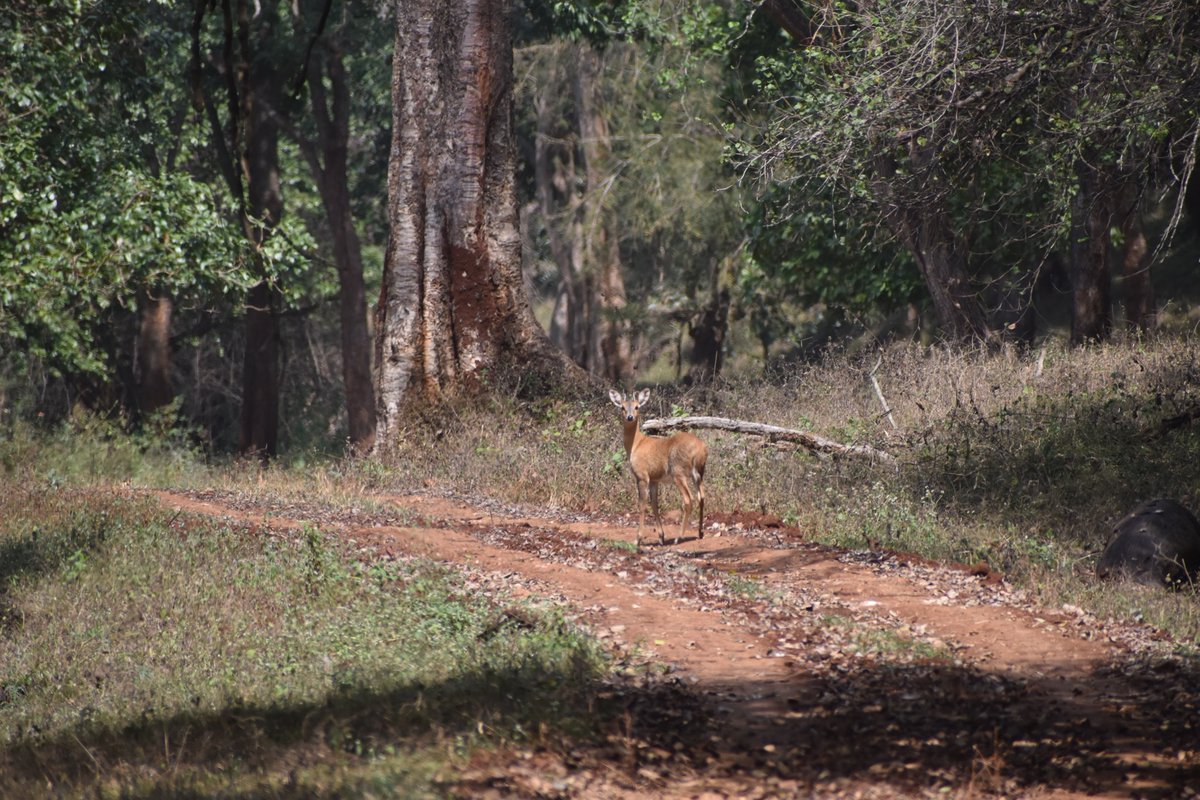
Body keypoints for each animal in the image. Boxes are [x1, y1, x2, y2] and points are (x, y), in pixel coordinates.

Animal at [608, 388, 707, 548]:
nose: (630, 417)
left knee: (688, 499)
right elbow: (654, 504)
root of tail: (700, 448)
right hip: (698, 472)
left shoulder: (642, 475)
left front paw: (638, 539)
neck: (636, 445)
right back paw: (700, 533)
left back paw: (678, 537)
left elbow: (642, 504)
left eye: (637, 406)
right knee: (701, 496)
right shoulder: (654, 479)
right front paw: (661, 537)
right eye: (622, 407)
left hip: (678, 472)